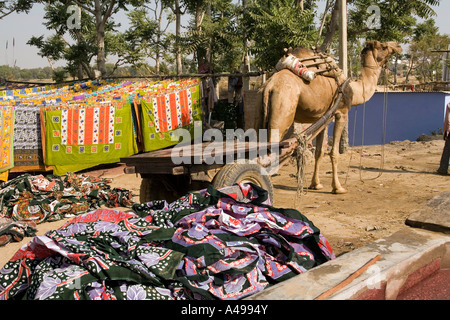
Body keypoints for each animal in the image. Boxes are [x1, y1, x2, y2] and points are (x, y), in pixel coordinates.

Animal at [258, 41, 402, 194]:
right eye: (384, 46)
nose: (398, 46)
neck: (353, 89)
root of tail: (269, 86)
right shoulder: (341, 113)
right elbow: (334, 153)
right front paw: (338, 187)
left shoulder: (323, 119)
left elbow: (319, 152)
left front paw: (316, 184)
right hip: (282, 111)